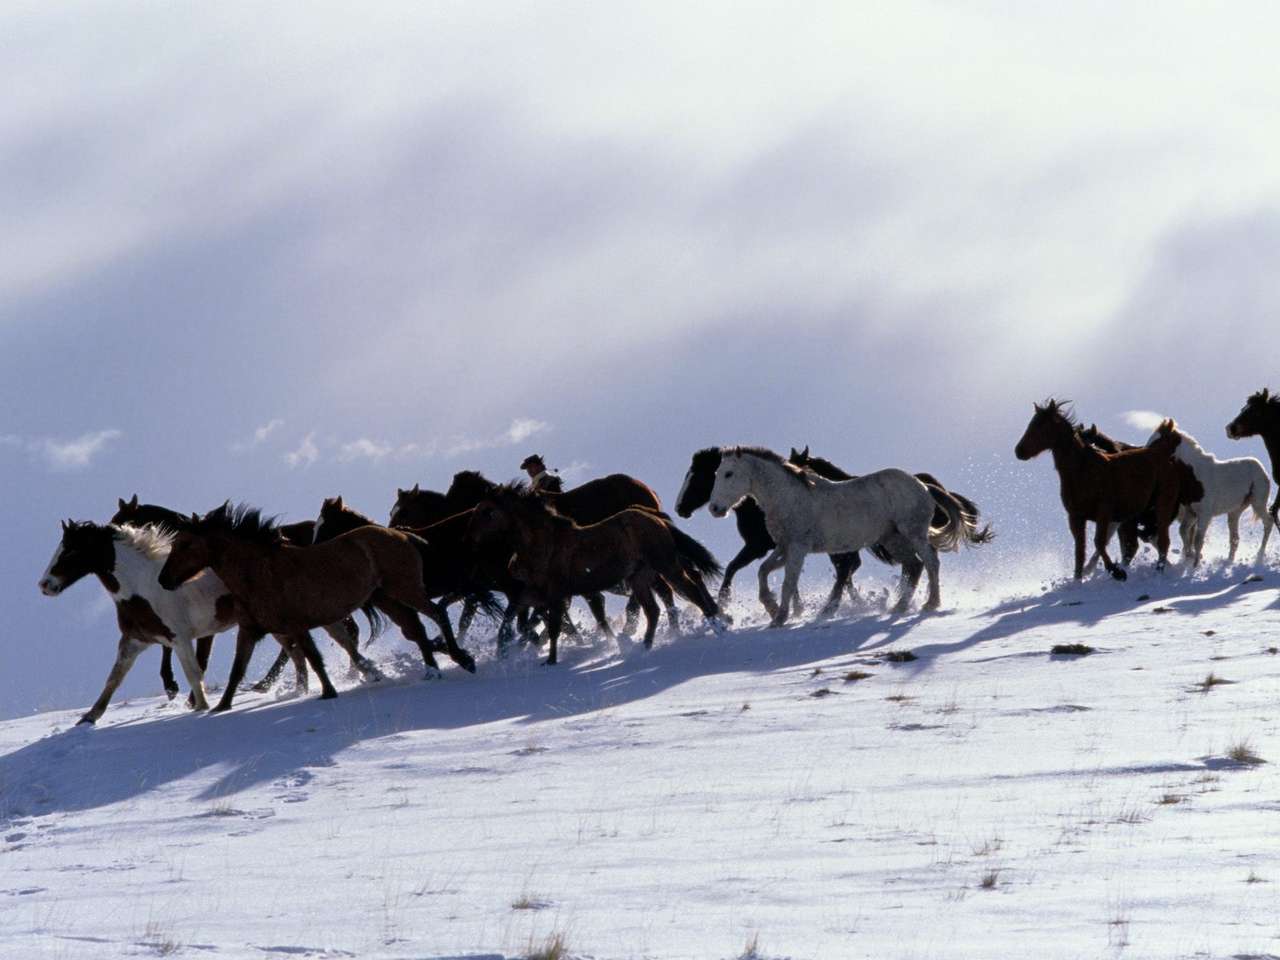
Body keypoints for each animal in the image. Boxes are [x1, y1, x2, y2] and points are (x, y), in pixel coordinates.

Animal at [39, 522, 235, 727]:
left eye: (71, 550)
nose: (44, 584)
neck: (144, 588)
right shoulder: (135, 640)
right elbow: (114, 677)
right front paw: (89, 717)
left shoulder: (180, 639)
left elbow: (193, 674)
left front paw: (202, 708)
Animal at [156, 504, 476, 716]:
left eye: (185, 544)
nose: (163, 580)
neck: (260, 573)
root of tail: (402, 535)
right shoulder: (250, 630)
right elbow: (238, 669)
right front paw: (221, 707)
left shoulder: (296, 625)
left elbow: (313, 658)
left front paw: (328, 693)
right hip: (387, 598)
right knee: (417, 629)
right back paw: (432, 671)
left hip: (405, 589)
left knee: (437, 614)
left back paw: (463, 659)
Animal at [1013, 401, 1182, 583]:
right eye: (1032, 423)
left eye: (1042, 425)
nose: (1019, 451)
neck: (1083, 470)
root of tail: (1162, 452)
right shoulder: (1076, 517)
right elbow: (1080, 551)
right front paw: (1078, 580)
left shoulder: (1104, 513)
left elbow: (1098, 542)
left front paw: (1117, 572)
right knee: (1138, 544)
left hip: (1163, 505)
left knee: (1162, 541)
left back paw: (1159, 572)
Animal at [1152, 422, 1269, 563]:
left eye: (1158, 441)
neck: (1196, 475)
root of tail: (1261, 469)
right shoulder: (1191, 513)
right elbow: (1184, 532)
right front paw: (1189, 557)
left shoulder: (1205, 515)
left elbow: (1198, 540)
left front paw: (1195, 564)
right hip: (1235, 512)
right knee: (1235, 538)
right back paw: (1229, 560)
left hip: (1258, 504)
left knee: (1268, 523)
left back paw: (1260, 554)